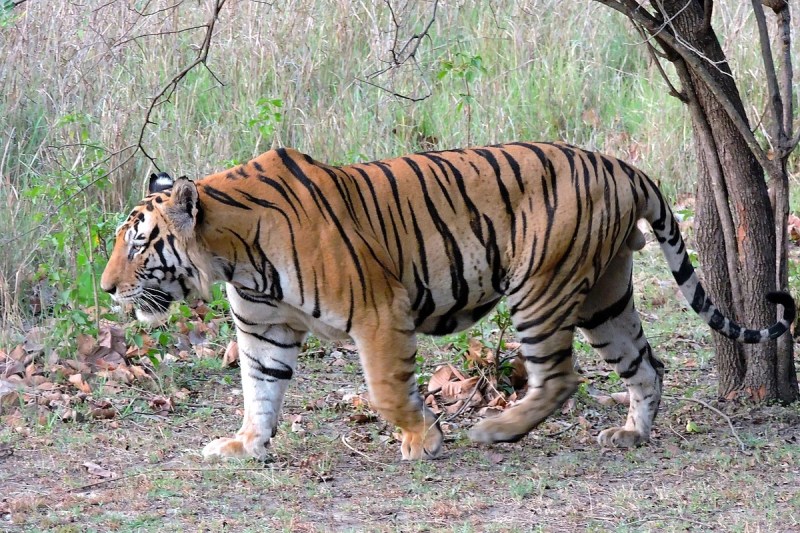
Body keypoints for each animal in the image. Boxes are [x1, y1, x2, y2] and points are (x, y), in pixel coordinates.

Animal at [101, 142, 795, 461]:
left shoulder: (379, 312)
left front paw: (425, 439)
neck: (234, 255)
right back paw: (630, 433)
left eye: (137, 244)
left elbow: (385, 390)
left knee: (560, 376)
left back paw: (497, 428)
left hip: (540, 289)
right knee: (647, 365)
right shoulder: (265, 330)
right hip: (606, 296)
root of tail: (623, 166)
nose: (106, 289)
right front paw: (245, 445)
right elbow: (259, 391)